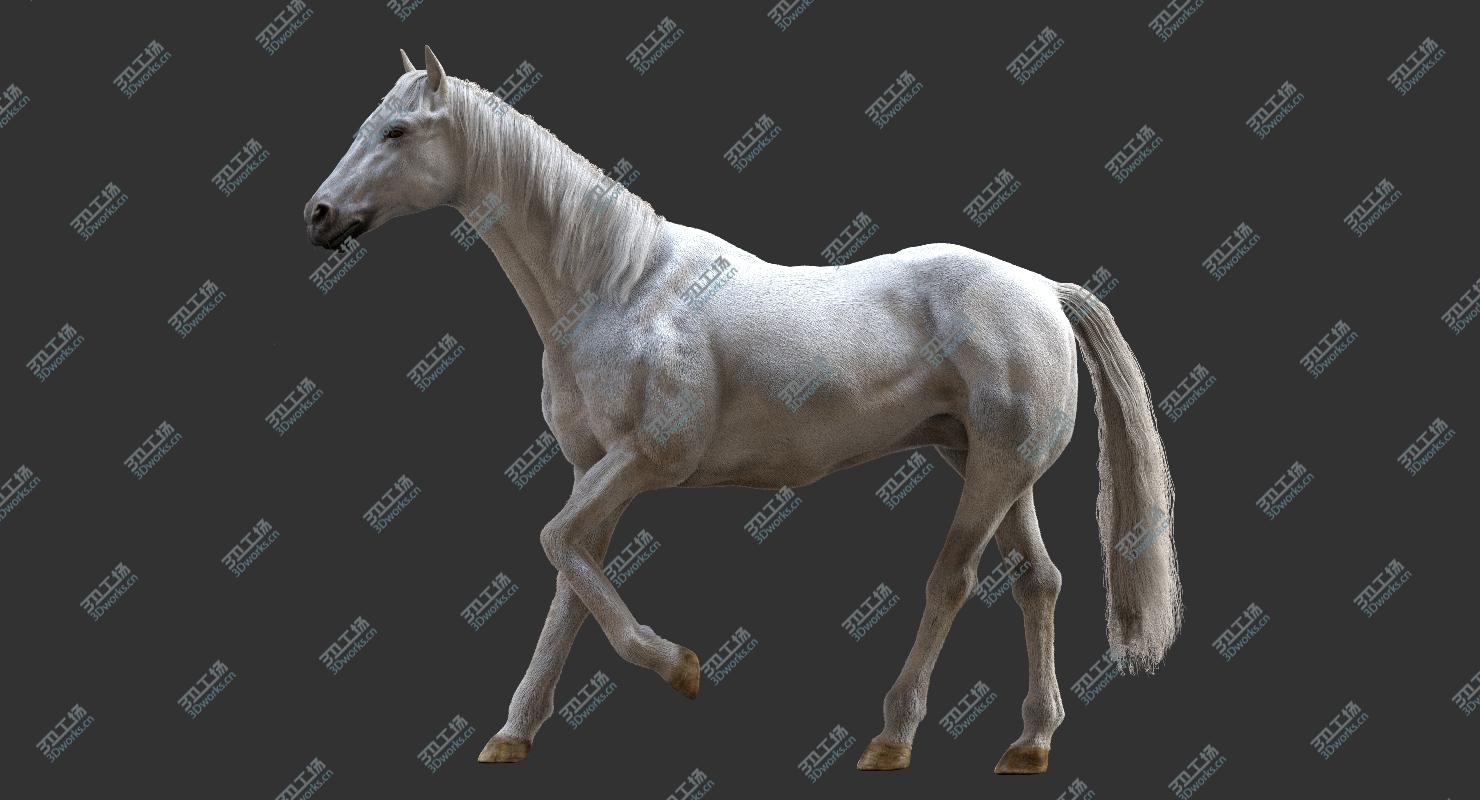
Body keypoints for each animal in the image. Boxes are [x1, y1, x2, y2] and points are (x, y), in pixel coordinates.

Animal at [304, 46, 1183, 776]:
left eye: (397, 130)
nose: (318, 214)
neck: (619, 288)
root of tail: (1042, 289)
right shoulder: (595, 470)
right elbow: (571, 573)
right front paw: (514, 732)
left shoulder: (647, 459)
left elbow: (556, 543)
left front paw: (679, 667)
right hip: (989, 464)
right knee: (1038, 581)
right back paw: (1030, 742)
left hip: (994, 469)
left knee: (953, 580)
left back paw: (893, 737)